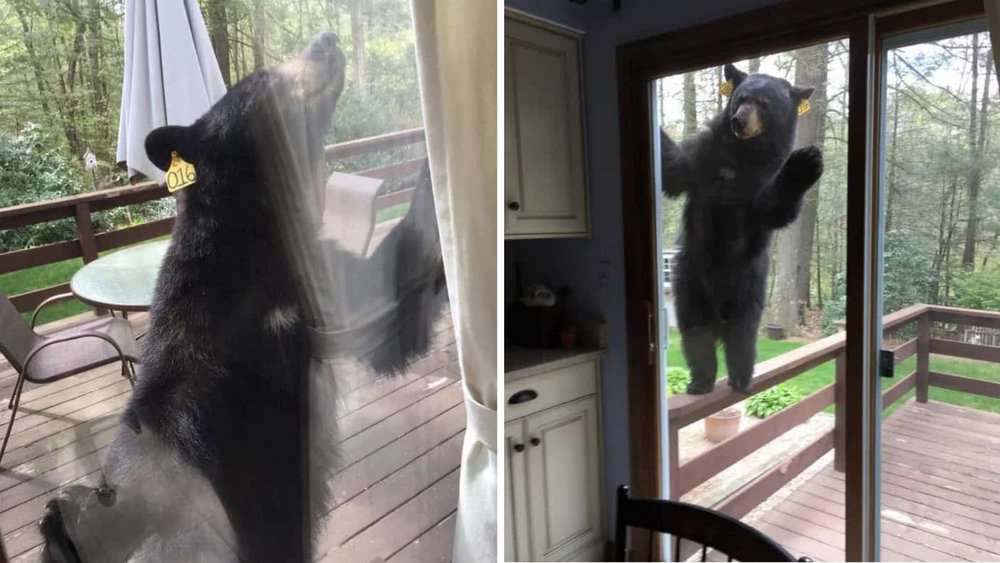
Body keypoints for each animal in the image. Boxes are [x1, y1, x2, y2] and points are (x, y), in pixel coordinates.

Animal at [662, 63, 823, 395]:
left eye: (764, 103)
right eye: (741, 98)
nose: (739, 120)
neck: (743, 154)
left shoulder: (762, 178)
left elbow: (773, 209)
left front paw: (805, 162)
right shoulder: (704, 156)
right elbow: (675, 170)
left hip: (748, 284)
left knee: (742, 335)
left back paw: (740, 377)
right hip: (690, 281)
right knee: (695, 332)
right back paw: (700, 380)